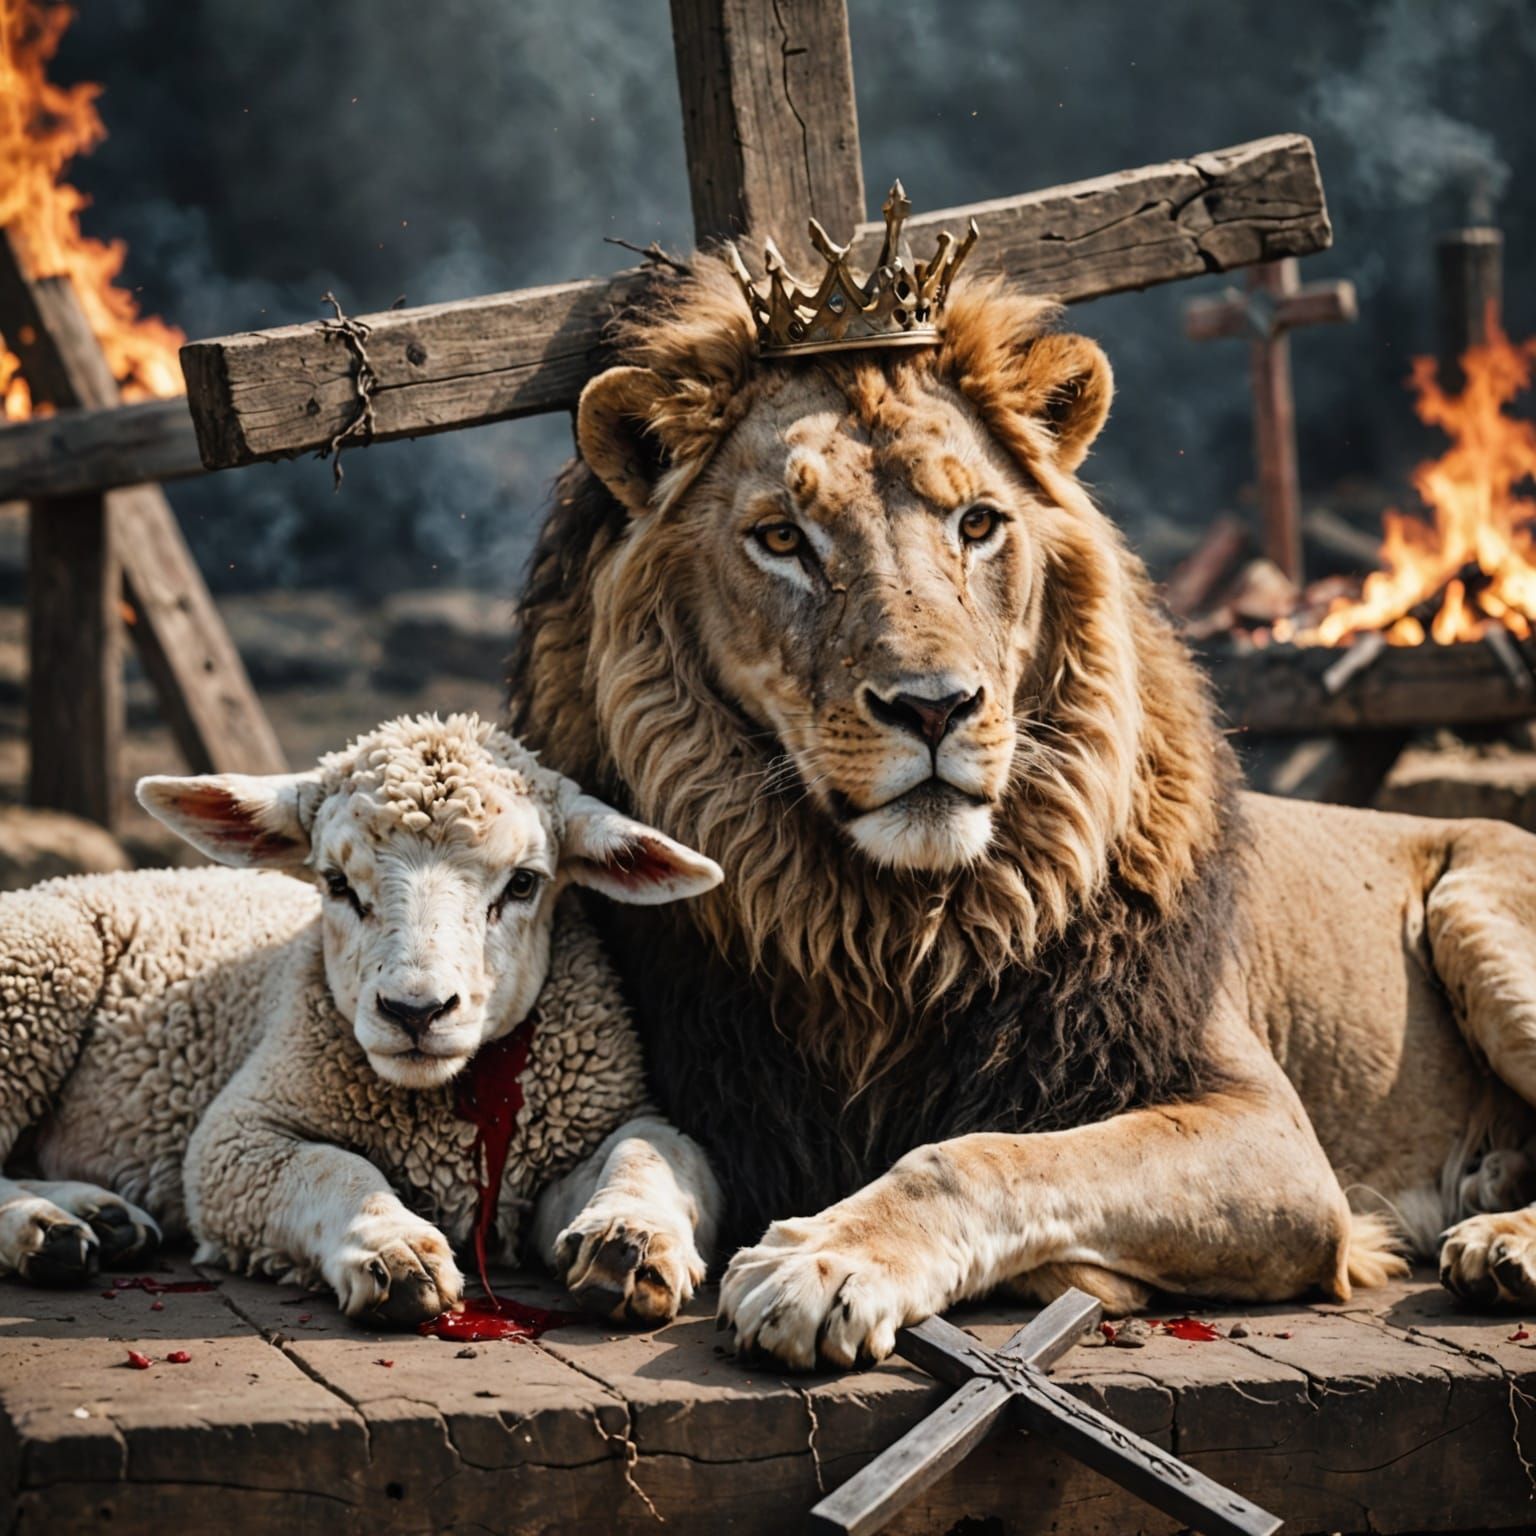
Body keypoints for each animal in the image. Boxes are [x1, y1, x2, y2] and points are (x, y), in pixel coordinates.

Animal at [0, 712, 724, 1326]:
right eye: (336, 883)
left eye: (523, 883)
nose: (415, 1010)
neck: (450, 1112)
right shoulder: (234, 1139)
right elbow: (332, 1167)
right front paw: (392, 1247)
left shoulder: (572, 1144)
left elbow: (655, 1149)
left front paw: (630, 1241)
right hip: (36, 978)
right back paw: (43, 1229)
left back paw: (100, 1217)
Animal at [506, 254, 1536, 1369]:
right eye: (782, 538)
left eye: (977, 524)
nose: (934, 707)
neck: (885, 933)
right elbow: (644, 1143)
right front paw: (626, 1232)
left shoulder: (1274, 1143)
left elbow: (979, 1155)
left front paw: (827, 1261)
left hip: (1478, 912)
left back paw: (1502, 1240)